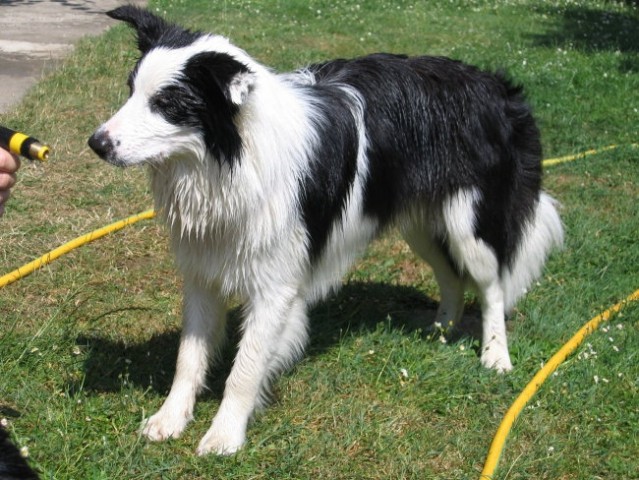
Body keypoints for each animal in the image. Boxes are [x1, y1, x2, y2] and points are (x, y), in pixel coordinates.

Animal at [87, 5, 564, 456]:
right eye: (131, 91)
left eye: (168, 104)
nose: (97, 143)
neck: (229, 163)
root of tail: (498, 86)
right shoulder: (204, 269)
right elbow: (189, 357)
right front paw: (170, 418)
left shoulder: (275, 286)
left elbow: (245, 369)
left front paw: (224, 436)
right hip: (420, 220)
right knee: (450, 276)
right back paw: (441, 327)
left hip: (470, 223)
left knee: (492, 286)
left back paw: (495, 355)